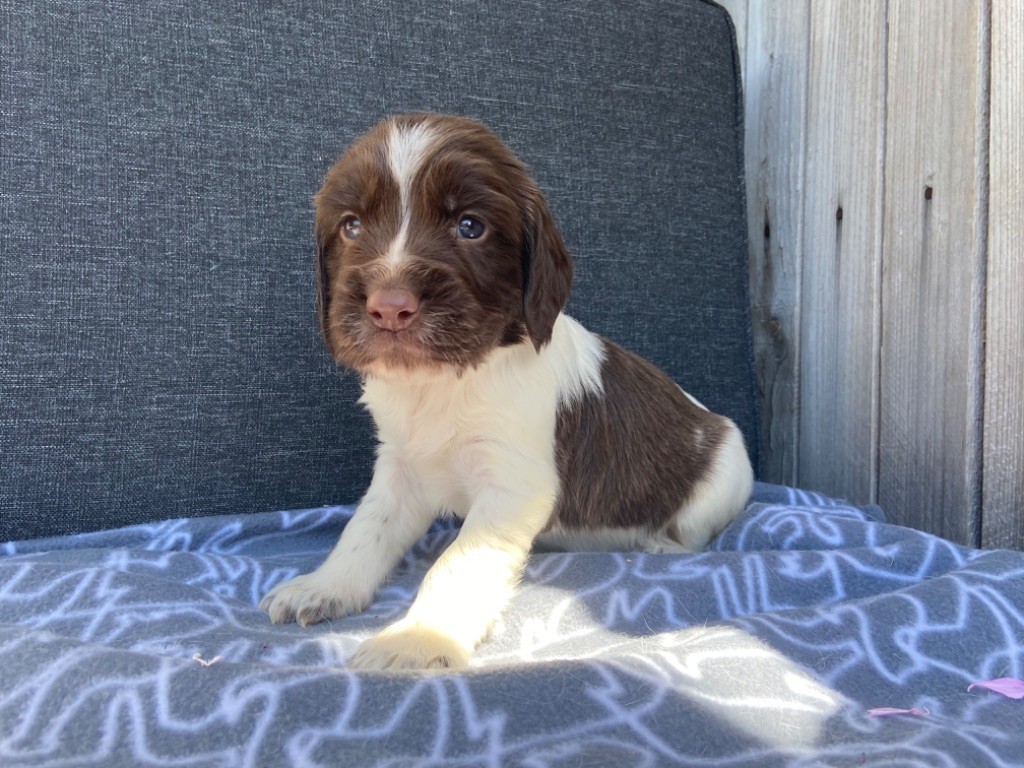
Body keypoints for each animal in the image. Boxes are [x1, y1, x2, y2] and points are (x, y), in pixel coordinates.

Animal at [260, 111, 757, 671]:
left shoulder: (513, 485)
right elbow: (365, 529)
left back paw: (658, 546)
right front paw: (325, 586)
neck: (444, 380)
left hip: (718, 485)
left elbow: (458, 562)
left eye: (470, 226)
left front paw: (419, 638)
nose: (390, 307)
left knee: (691, 534)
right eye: (352, 225)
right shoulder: (401, 469)